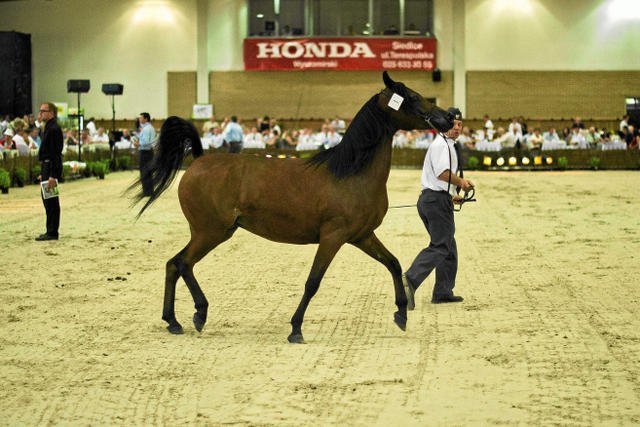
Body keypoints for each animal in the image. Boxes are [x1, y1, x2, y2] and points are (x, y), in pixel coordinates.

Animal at [131, 71, 450, 344]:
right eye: (411, 96)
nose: (449, 116)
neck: (350, 173)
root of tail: (198, 160)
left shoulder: (362, 236)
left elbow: (393, 263)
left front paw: (401, 313)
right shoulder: (333, 237)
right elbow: (313, 282)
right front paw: (296, 328)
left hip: (212, 232)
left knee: (174, 264)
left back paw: (173, 321)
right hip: (210, 232)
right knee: (183, 263)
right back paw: (198, 313)